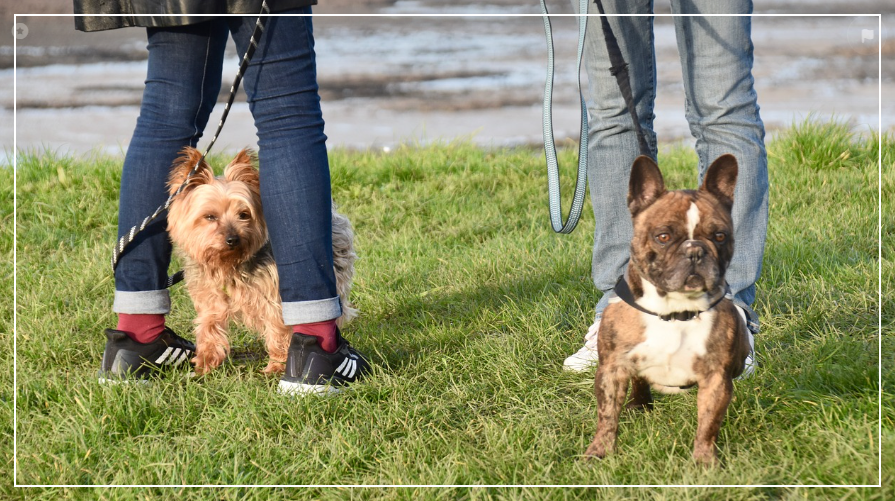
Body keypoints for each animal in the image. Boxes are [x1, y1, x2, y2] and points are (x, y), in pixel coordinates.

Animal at [166, 147, 356, 376]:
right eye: (210, 216)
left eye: (243, 214)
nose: (233, 239)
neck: (228, 265)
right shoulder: (209, 295)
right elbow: (209, 324)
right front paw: (206, 362)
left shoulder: (273, 297)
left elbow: (277, 329)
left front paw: (278, 365)